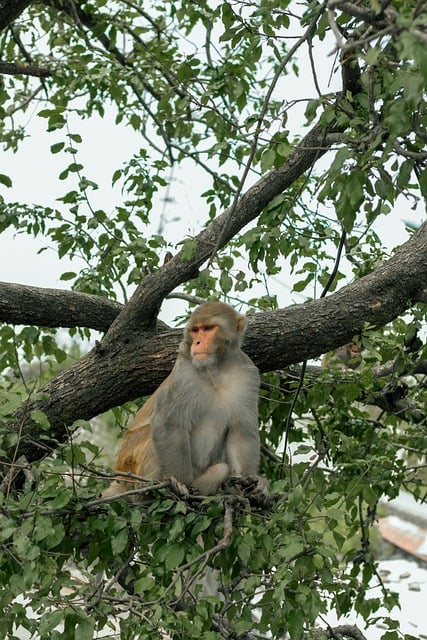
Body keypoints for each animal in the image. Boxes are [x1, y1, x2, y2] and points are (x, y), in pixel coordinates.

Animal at [104, 302, 270, 502]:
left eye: (208, 328)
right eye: (195, 330)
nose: (197, 342)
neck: (217, 368)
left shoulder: (248, 376)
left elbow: (242, 430)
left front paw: (253, 481)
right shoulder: (184, 372)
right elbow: (169, 424)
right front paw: (179, 482)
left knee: (222, 468)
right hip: (130, 467)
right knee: (153, 435)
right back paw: (150, 493)